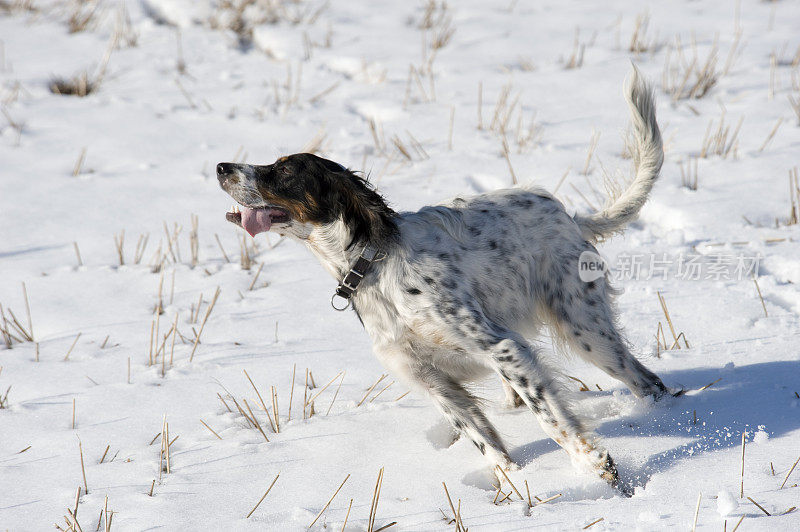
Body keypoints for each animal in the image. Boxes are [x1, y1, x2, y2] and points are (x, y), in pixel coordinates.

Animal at [216, 67, 672, 494]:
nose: (221, 166)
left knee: (647, 381)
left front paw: (595, 467)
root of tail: (567, 214)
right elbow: (487, 444)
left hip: (586, 330)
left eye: (284, 170)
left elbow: (554, 422)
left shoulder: (503, 348)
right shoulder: (435, 384)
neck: (373, 270)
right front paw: (516, 487)